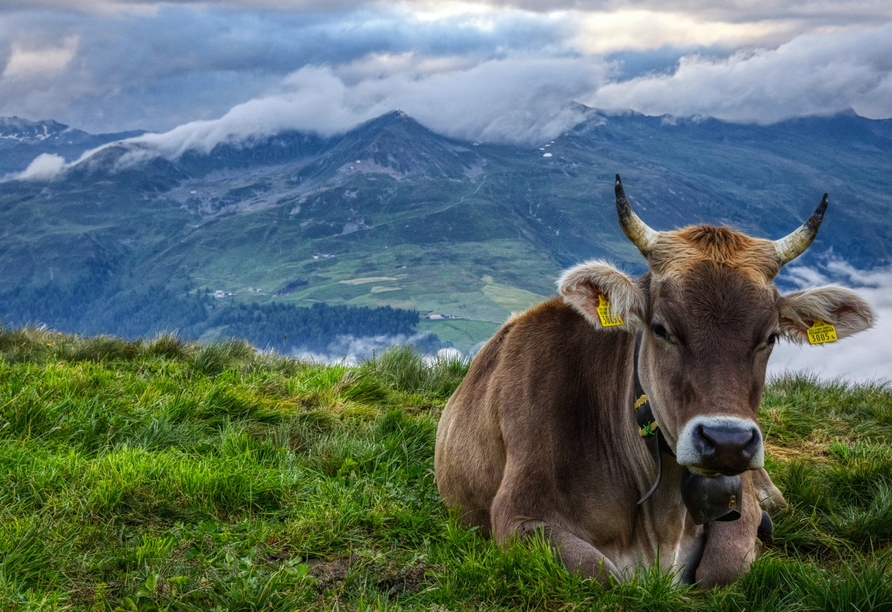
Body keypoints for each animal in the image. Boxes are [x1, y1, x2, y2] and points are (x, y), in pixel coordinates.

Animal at [436, 175, 876, 584]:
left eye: (769, 337)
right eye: (661, 328)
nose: (727, 442)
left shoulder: (740, 508)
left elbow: (721, 566)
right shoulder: (519, 516)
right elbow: (602, 574)